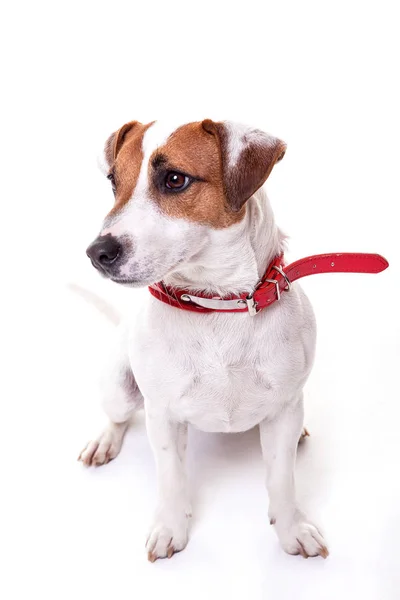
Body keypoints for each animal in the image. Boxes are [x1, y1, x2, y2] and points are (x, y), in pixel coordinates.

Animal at [78, 118, 328, 564]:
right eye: (113, 181)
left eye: (175, 179)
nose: (97, 252)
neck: (216, 305)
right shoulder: (163, 416)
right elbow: (172, 478)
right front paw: (170, 528)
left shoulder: (283, 411)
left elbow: (281, 480)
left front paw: (291, 529)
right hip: (121, 389)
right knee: (118, 416)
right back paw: (104, 441)